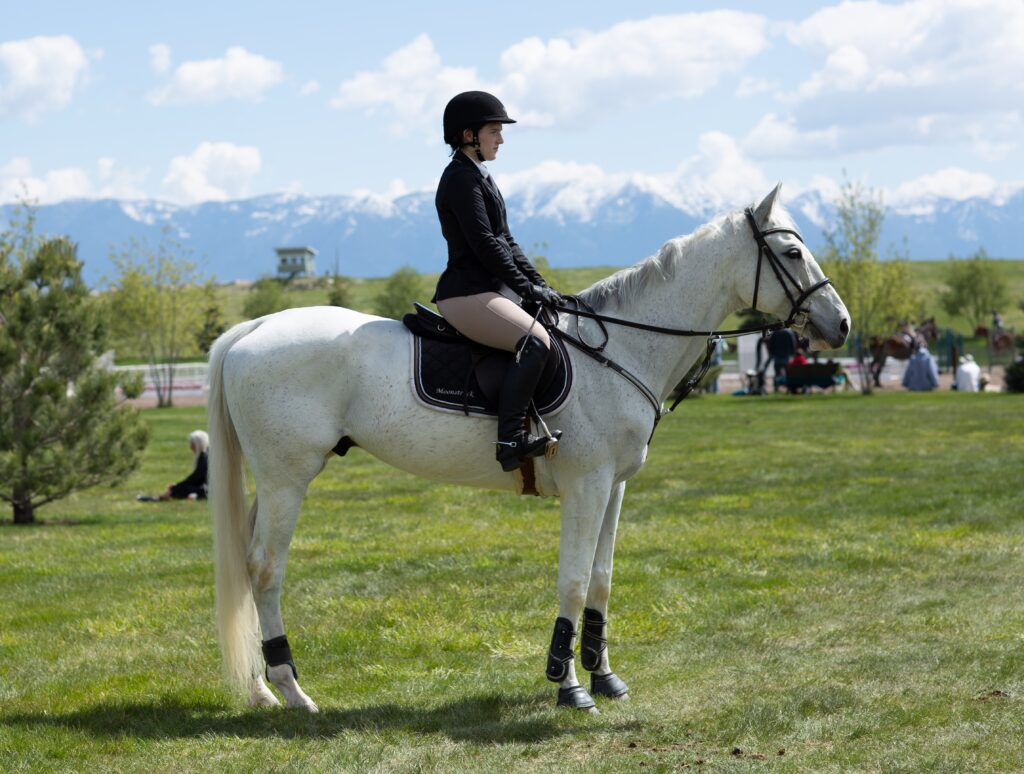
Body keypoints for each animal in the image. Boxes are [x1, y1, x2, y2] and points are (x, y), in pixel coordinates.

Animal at [208, 184, 851, 713]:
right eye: (792, 254)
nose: (841, 325)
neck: (621, 348)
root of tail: (256, 328)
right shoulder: (587, 485)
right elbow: (572, 579)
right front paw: (569, 687)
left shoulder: (613, 487)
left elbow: (601, 577)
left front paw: (604, 677)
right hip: (289, 480)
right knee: (266, 569)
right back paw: (294, 691)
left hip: (275, 481)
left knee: (247, 564)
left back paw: (262, 689)